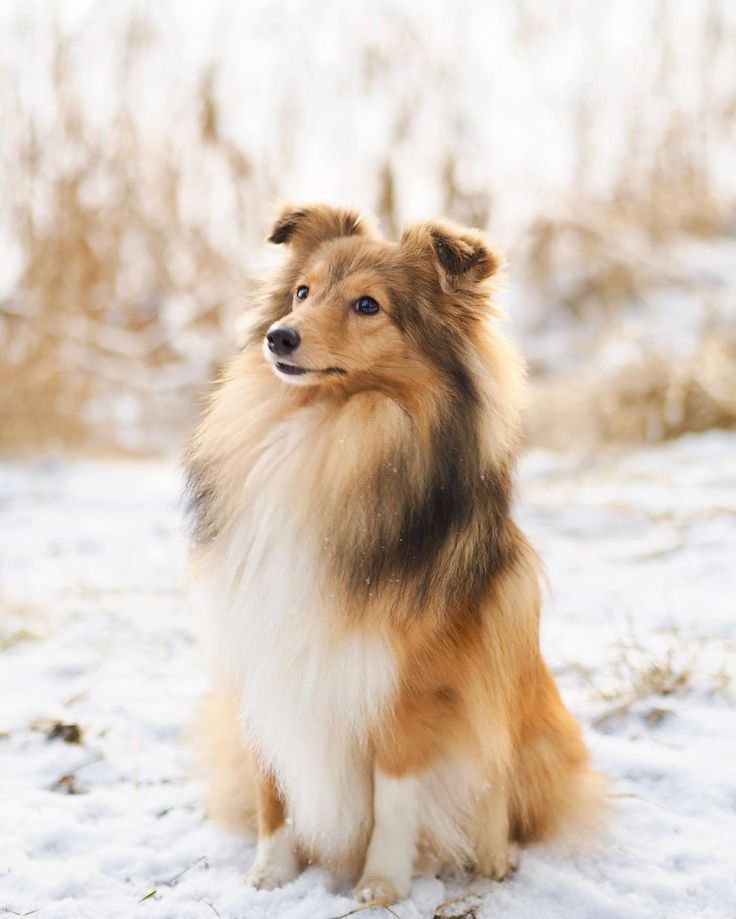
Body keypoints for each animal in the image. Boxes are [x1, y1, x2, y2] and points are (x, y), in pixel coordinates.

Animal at [187, 203, 608, 904]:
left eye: (367, 305)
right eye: (302, 292)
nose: (279, 338)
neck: (326, 430)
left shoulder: (410, 688)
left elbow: (394, 793)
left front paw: (382, 883)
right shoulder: (261, 660)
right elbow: (273, 787)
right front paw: (270, 873)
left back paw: (492, 860)